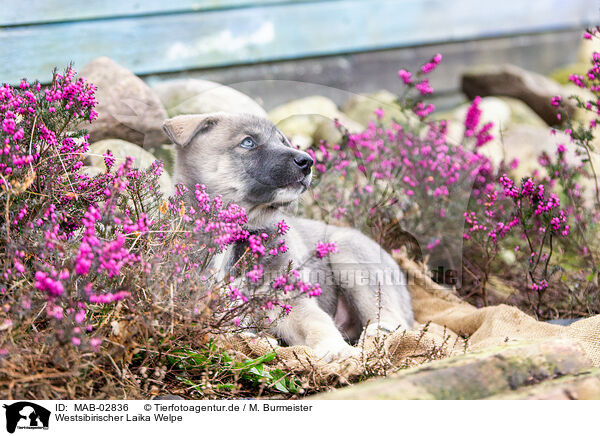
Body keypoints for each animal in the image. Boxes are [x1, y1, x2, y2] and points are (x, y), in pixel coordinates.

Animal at [161, 112, 412, 362]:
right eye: (248, 142)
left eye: (282, 141)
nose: (307, 161)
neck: (235, 233)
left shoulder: (288, 299)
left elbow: (317, 322)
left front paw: (335, 348)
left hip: (350, 254)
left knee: (392, 315)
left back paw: (381, 331)